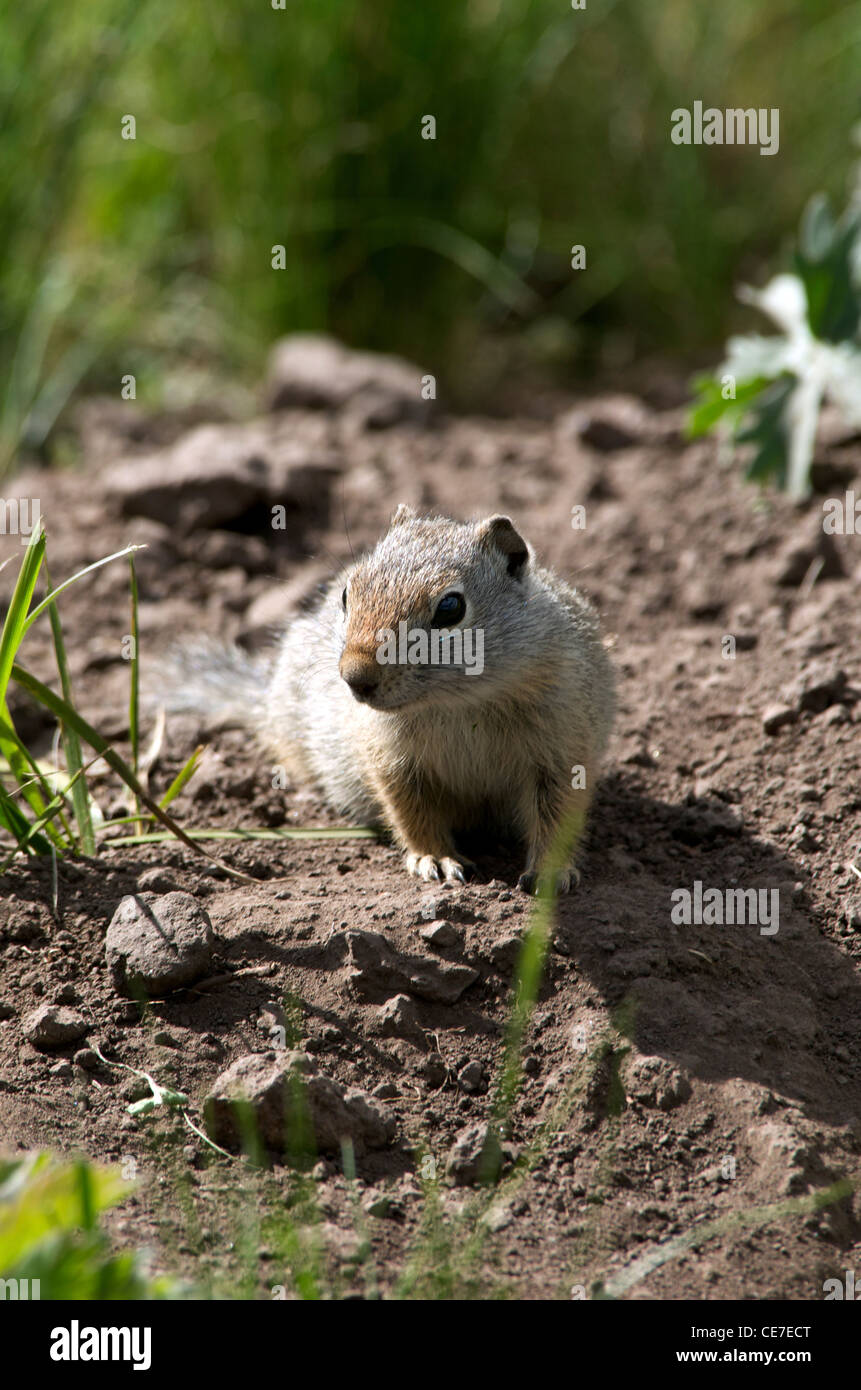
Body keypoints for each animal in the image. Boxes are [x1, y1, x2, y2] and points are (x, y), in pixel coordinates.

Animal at [161, 508, 617, 889]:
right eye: (347, 593)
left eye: (450, 607)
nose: (354, 677)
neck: (459, 702)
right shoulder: (389, 754)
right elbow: (408, 809)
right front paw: (435, 858)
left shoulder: (564, 744)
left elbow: (558, 813)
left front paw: (550, 871)